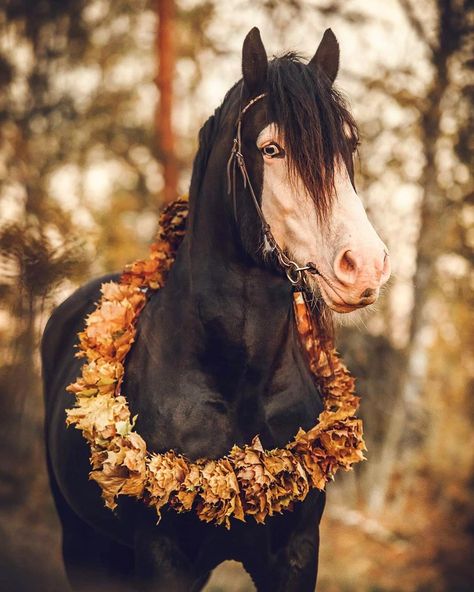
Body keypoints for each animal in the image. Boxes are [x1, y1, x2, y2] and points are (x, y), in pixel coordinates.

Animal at [41, 27, 388, 592]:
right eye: (271, 148)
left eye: (349, 145)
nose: (365, 267)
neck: (236, 380)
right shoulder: (163, 558)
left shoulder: (295, 554)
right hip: (85, 547)